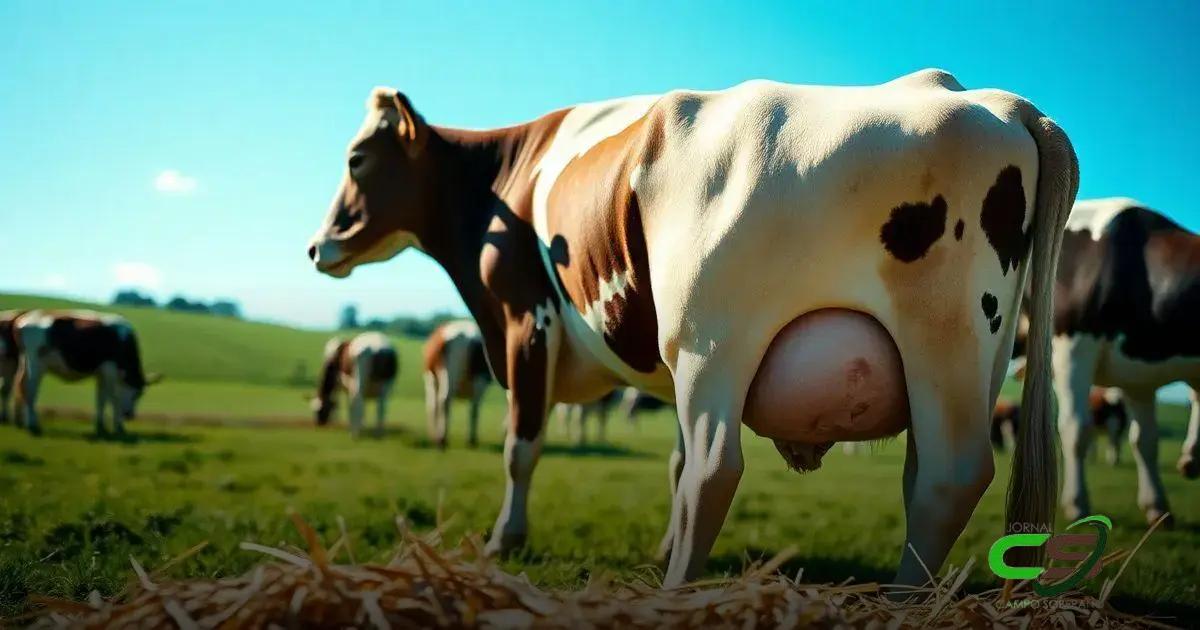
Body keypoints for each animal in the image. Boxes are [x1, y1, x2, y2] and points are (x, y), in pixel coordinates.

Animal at [11, 309, 162, 436]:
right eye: (138, 394)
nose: (130, 415)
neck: (124, 342)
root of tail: (25, 318)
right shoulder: (110, 371)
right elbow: (114, 399)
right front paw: (119, 428)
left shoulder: (101, 373)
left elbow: (101, 399)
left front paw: (101, 427)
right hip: (35, 364)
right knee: (30, 389)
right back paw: (32, 425)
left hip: (25, 362)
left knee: (20, 385)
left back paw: (20, 422)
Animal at [423, 319, 492, 447]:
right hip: (454, 372)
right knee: (447, 401)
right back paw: (445, 439)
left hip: (435, 376)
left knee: (435, 403)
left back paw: (436, 437)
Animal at [1049, 198, 1200, 526]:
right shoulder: (1074, 342)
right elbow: (1076, 428)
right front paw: (1077, 504)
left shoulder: (1138, 375)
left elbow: (1146, 440)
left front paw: (1157, 506)